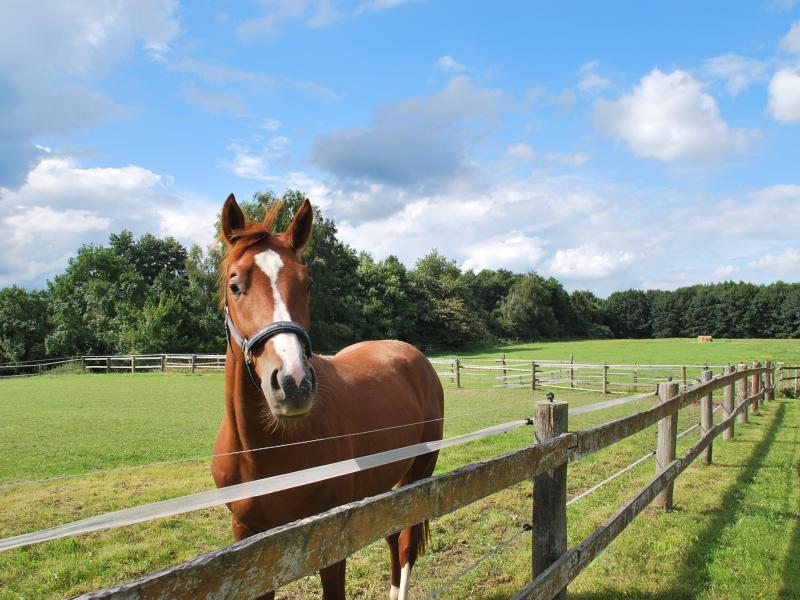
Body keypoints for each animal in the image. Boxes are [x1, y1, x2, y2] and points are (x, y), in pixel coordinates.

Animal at [209, 195, 444, 596]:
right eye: (235, 284)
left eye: (308, 284)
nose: (293, 382)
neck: (263, 453)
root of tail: (413, 355)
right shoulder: (250, 542)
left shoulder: (330, 539)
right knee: (392, 537)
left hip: (418, 474)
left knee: (405, 543)